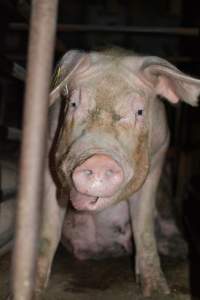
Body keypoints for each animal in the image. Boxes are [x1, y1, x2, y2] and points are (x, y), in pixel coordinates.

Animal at [35, 48, 200, 296]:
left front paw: (158, 292)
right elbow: (48, 229)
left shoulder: (158, 157)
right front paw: (31, 289)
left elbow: (144, 229)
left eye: (140, 111)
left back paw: (179, 250)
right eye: (73, 103)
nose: (98, 159)